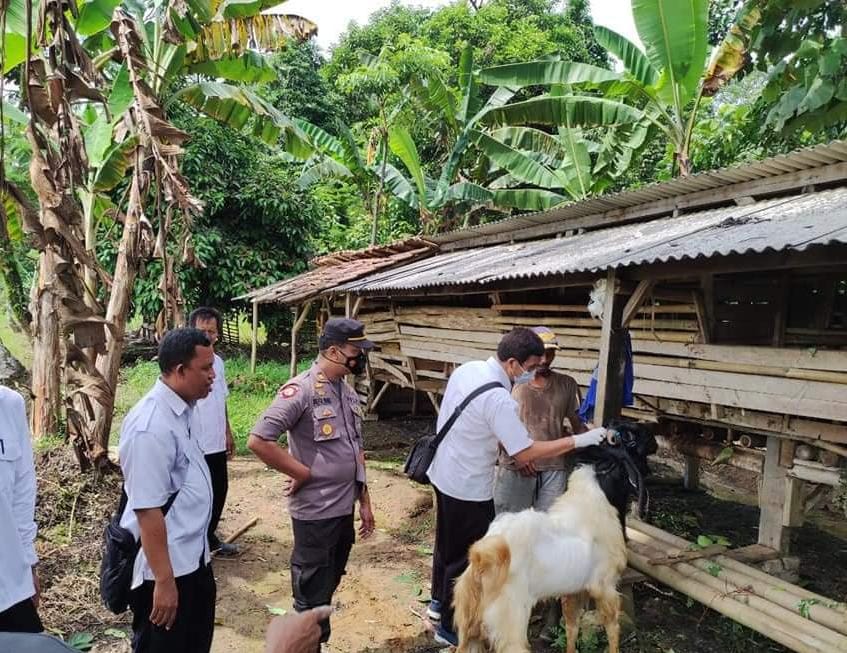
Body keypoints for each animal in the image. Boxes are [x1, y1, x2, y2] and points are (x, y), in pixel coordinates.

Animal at [458, 464, 628, 652]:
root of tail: (481, 557)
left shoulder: (573, 593)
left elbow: (572, 628)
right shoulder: (605, 587)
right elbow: (612, 628)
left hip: (469, 628)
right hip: (511, 625)